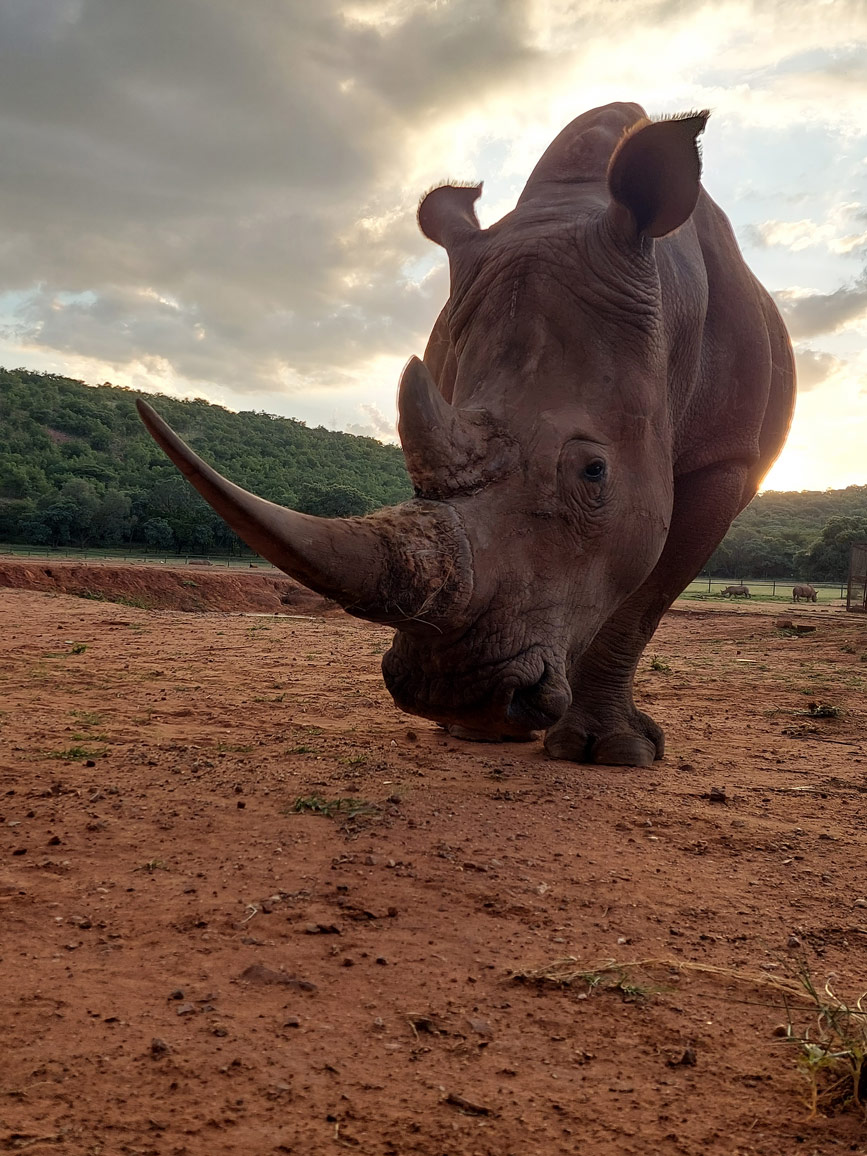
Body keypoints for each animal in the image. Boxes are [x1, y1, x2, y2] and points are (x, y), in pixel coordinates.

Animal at [137, 102, 795, 767]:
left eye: (594, 473)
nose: (451, 692)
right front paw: (497, 729)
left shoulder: (726, 458)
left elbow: (643, 600)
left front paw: (613, 751)